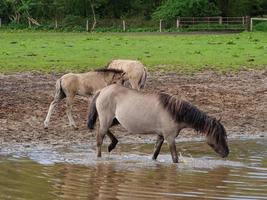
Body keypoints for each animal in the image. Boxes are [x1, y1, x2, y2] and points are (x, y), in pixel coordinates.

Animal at [88, 83, 230, 163]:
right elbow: (175, 158)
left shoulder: (161, 136)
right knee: (99, 139)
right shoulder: (170, 138)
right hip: (107, 119)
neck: (174, 111)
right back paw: (100, 156)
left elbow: (155, 153)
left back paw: (112, 144)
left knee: (102, 130)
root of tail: (102, 91)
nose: (227, 153)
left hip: (114, 120)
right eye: (218, 136)